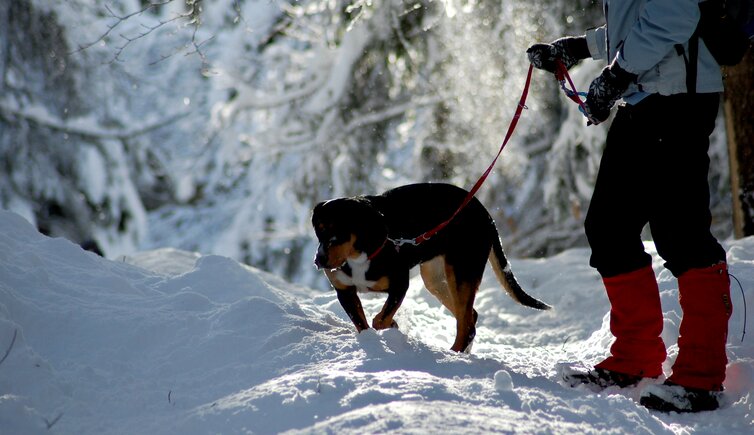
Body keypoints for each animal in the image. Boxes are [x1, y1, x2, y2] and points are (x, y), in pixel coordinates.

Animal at [308, 182, 548, 352]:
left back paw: (454, 352)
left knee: (466, 324)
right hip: (435, 279)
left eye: (338, 232)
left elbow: (380, 319)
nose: (319, 260)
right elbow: (362, 323)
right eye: (318, 230)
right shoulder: (345, 291)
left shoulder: (399, 284)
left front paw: (390, 326)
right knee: (470, 315)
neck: (359, 254)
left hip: (462, 272)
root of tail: (484, 212)